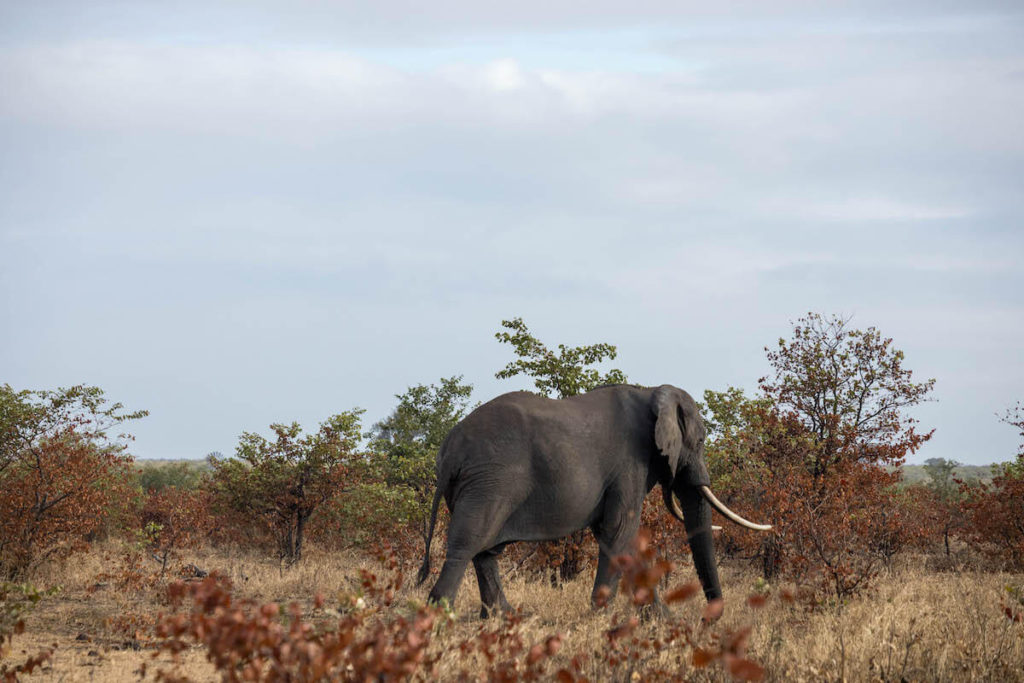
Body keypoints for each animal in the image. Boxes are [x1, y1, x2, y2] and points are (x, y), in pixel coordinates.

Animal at [415, 382, 770, 618]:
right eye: (699, 441)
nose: (707, 619)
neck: (652, 392)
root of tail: (448, 449)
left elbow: (622, 539)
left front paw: (661, 620)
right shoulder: (631, 462)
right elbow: (620, 529)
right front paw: (600, 617)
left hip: (478, 484)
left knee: (485, 551)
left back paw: (506, 617)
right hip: (490, 481)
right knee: (467, 544)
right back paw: (438, 615)